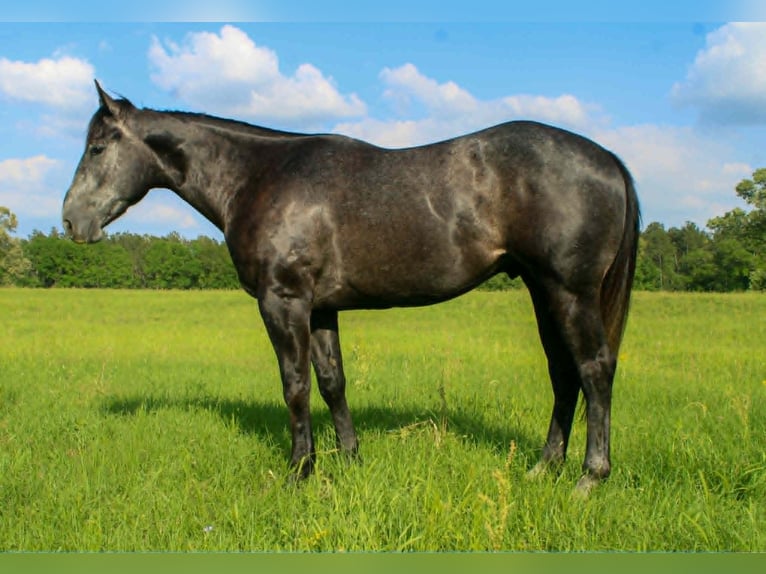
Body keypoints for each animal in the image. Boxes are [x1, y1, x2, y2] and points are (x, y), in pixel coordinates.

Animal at [63, 81, 640, 493]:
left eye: (97, 148)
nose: (71, 221)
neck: (261, 178)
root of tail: (608, 159)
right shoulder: (320, 310)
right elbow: (332, 382)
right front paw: (349, 458)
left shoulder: (284, 302)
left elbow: (295, 386)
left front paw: (300, 471)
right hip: (544, 292)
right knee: (564, 375)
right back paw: (544, 468)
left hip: (570, 292)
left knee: (594, 370)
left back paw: (590, 477)